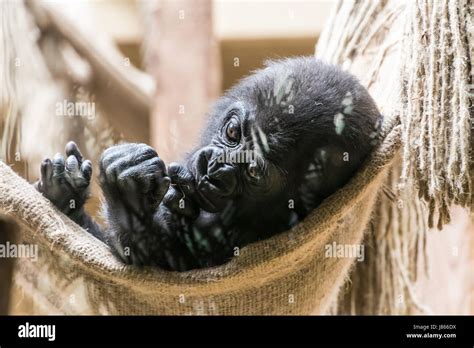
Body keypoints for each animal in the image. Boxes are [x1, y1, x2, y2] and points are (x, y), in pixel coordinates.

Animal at [34, 57, 382, 272]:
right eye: (233, 132)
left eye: (252, 172)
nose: (213, 167)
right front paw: (65, 190)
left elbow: (161, 263)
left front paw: (126, 196)